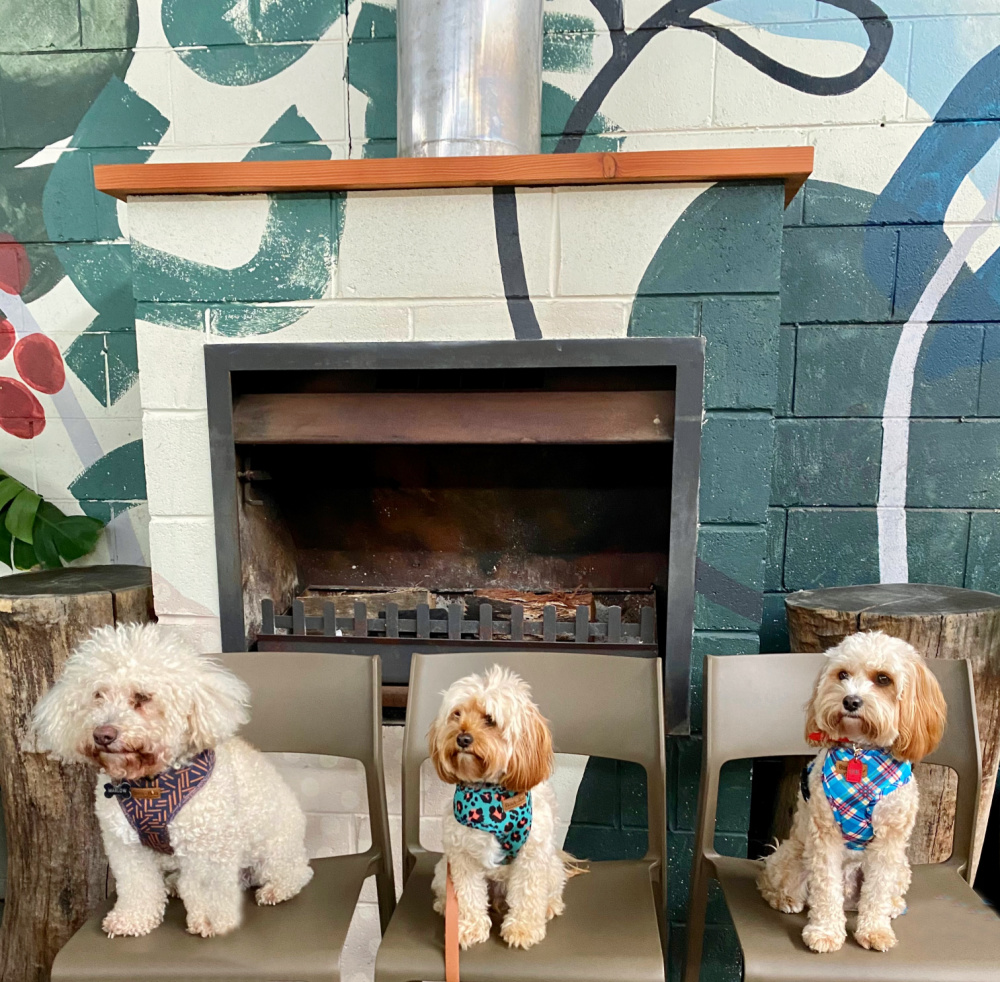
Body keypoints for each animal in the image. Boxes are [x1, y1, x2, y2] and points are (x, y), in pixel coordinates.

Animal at [33, 628, 310, 940]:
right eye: (98, 695)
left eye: (142, 697)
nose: (103, 734)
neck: (149, 784)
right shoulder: (126, 845)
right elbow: (137, 885)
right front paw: (132, 919)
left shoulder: (206, 845)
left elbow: (206, 888)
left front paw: (211, 921)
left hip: (273, 849)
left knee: (296, 872)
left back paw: (276, 889)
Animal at [428, 668, 580, 952]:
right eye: (457, 714)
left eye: (490, 719)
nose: (462, 738)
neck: (490, 795)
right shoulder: (462, 856)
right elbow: (468, 894)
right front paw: (468, 927)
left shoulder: (532, 856)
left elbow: (529, 895)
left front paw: (523, 929)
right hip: (444, 869)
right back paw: (445, 906)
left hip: (551, 867)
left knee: (550, 891)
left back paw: (550, 906)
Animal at [756, 636, 944, 956]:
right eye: (842, 674)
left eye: (883, 679)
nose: (851, 701)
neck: (861, 754)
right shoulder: (824, 836)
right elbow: (825, 889)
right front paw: (825, 933)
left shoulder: (889, 841)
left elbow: (877, 890)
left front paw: (876, 931)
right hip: (793, 855)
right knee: (776, 881)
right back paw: (785, 899)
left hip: (901, 866)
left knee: (884, 892)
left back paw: (893, 906)